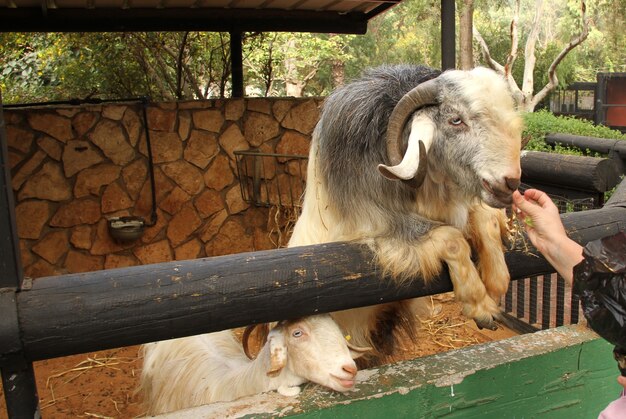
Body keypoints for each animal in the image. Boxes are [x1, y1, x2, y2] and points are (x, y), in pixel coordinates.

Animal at [288, 64, 520, 366]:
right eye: (456, 120)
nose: (510, 182)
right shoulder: (381, 233)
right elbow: (452, 238)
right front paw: (481, 308)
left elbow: (486, 219)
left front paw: (497, 280)